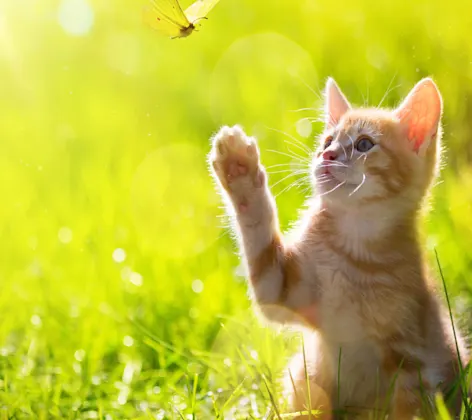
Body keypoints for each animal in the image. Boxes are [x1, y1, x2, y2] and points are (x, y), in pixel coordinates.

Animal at [208, 78, 470, 416]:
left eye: (364, 144)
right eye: (327, 141)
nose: (327, 155)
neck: (351, 247)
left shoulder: (413, 359)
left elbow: (410, 408)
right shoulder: (280, 288)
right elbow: (257, 234)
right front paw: (239, 170)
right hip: (302, 373)